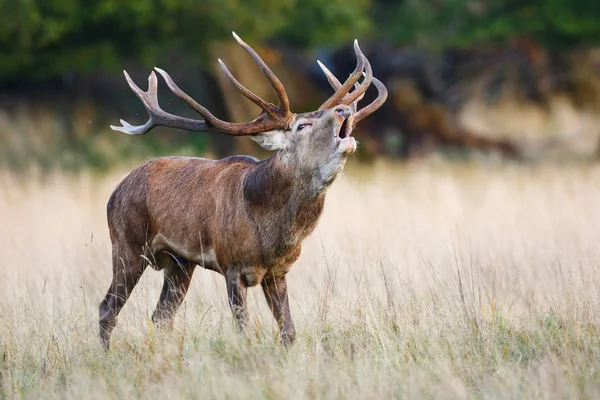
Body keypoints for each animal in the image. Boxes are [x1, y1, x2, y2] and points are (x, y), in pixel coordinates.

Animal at [100, 32, 386, 348]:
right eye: (302, 125)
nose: (343, 109)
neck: (270, 231)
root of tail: (115, 191)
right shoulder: (232, 266)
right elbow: (243, 330)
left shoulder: (278, 271)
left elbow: (289, 332)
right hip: (127, 243)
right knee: (108, 308)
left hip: (180, 263)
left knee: (161, 315)